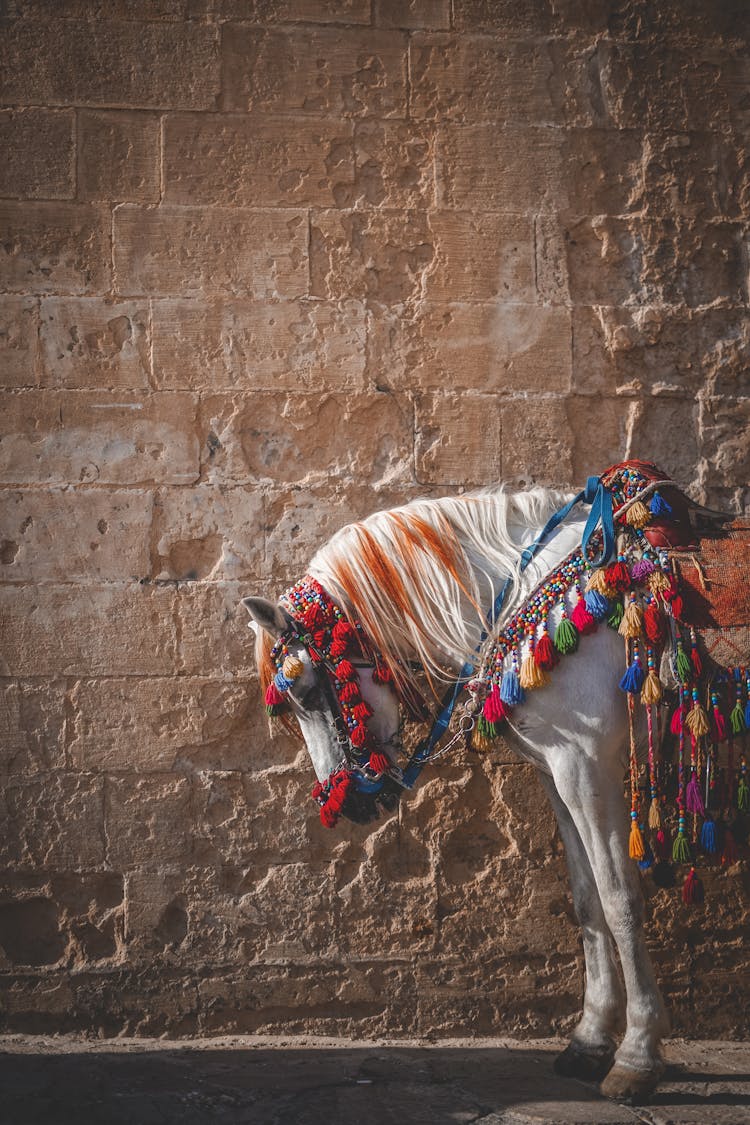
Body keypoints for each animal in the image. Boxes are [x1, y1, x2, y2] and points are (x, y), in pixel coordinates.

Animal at [244, 483, 670, 1098]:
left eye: (305, 689)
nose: (346, 802)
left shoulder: (588, 763)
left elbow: (620, 899)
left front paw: (637, 1054)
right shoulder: (561, 771)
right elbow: (587, 899)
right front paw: (590, 1041)